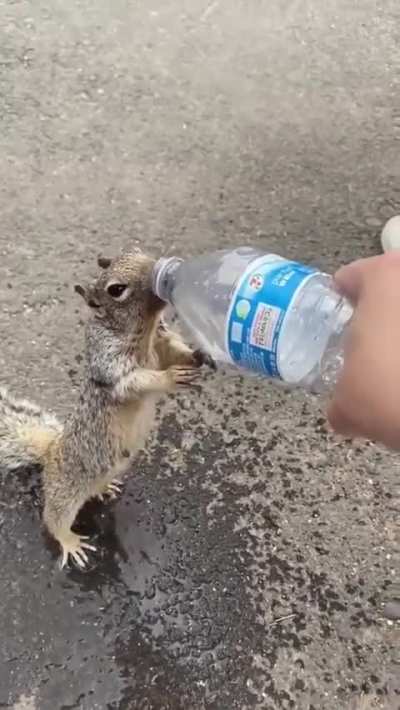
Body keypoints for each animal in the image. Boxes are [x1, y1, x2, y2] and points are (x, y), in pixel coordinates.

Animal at [0, 249, 212, 568]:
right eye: (116, 290)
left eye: (137, 252)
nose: (157, 268)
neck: (144, 332)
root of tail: (50, 452)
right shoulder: (111, 364)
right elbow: (137, 381)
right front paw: (169, 378)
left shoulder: (162, 342)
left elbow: (175, 351)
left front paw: (199, 354)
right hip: (66, 490)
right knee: (54, 519)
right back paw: (71, 542)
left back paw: (104, 490)